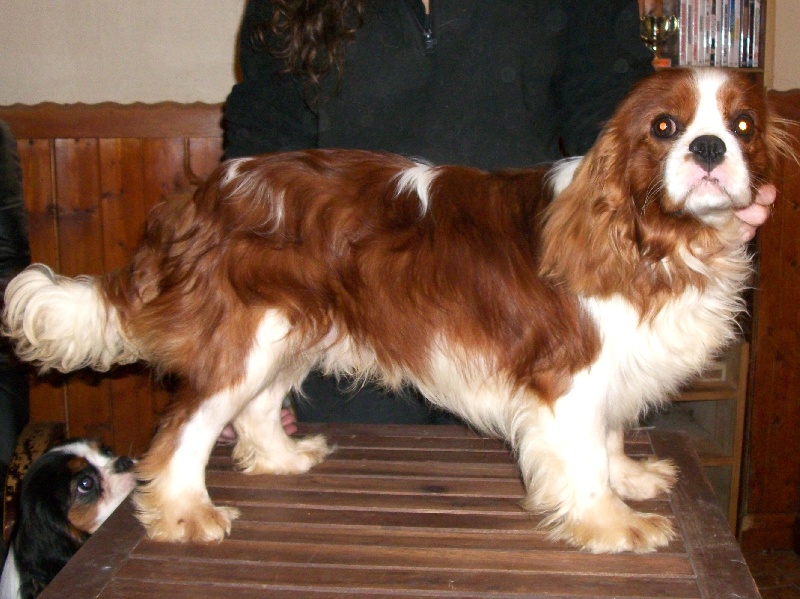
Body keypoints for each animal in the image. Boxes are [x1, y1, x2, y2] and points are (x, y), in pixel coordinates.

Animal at [1, 67, 789, 553]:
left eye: (745, 126)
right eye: (665, 127)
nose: (710, 147)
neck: (652, 239)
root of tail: (202, 194)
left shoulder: (615, 365)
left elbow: (612, 435)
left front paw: (630, 479)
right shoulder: (569, 374)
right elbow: (584, 456)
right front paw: (611, 521)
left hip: (286, 330)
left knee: (253, 410)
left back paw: (282, 458)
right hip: (243, 336)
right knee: (184, 432)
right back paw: (186, 512)